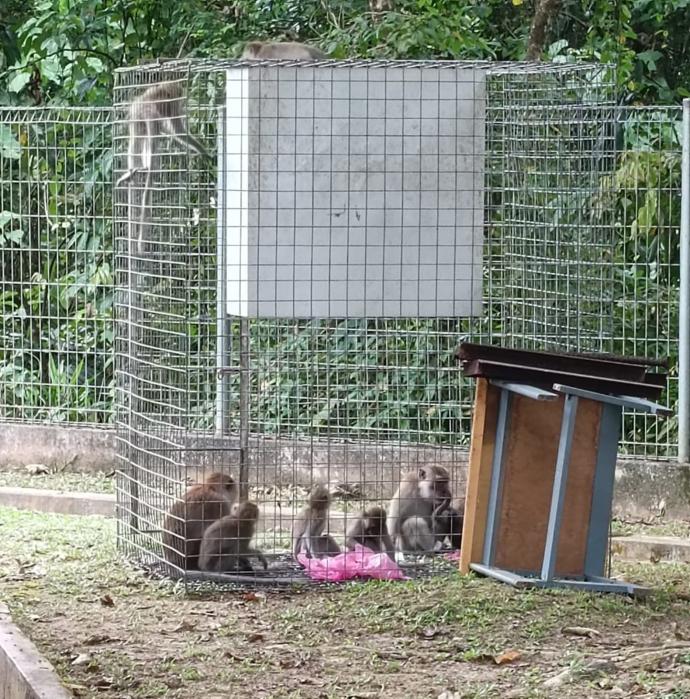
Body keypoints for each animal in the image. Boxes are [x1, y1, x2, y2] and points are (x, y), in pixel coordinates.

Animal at [115, 80, 210, 253]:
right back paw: (148, 168)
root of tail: (144, 103)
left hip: (137, 116)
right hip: (148, 114)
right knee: (152, 141)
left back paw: (135, 171)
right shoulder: (173, 104)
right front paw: (202, 150)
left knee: (138, 140)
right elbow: (178, 131)